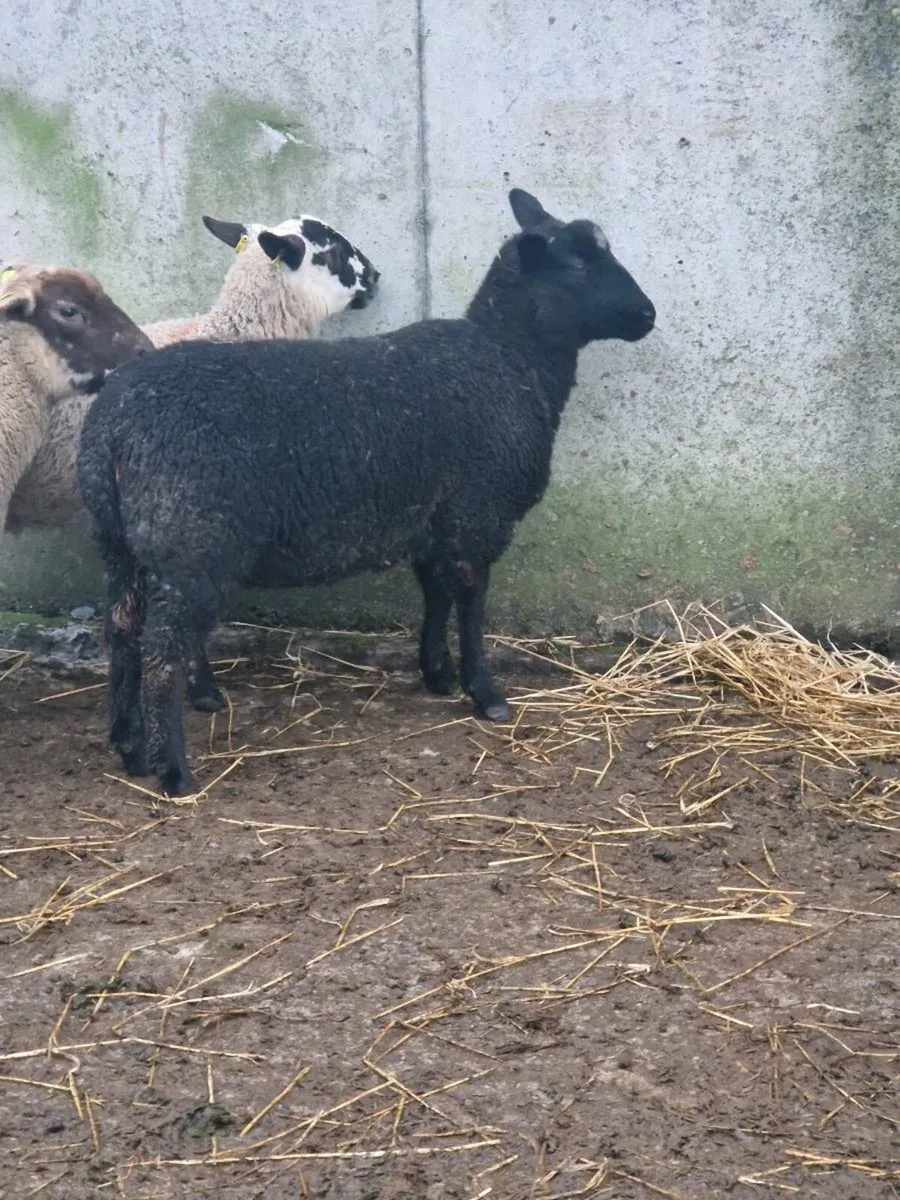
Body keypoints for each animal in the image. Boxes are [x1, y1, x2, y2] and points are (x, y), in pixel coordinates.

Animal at [77, 187, 656, 797]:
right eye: (576, 265)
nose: (647, 315)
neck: (508, 359)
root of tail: (113, 428)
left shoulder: (433, 521)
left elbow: (436, 594)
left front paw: (437, 673)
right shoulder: (477, 516)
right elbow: (471, 604)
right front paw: (485, 692)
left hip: (120, 543)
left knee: (121, 633)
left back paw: (128, 745)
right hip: (189, 544)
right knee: (162, 651)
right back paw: (173, 770)